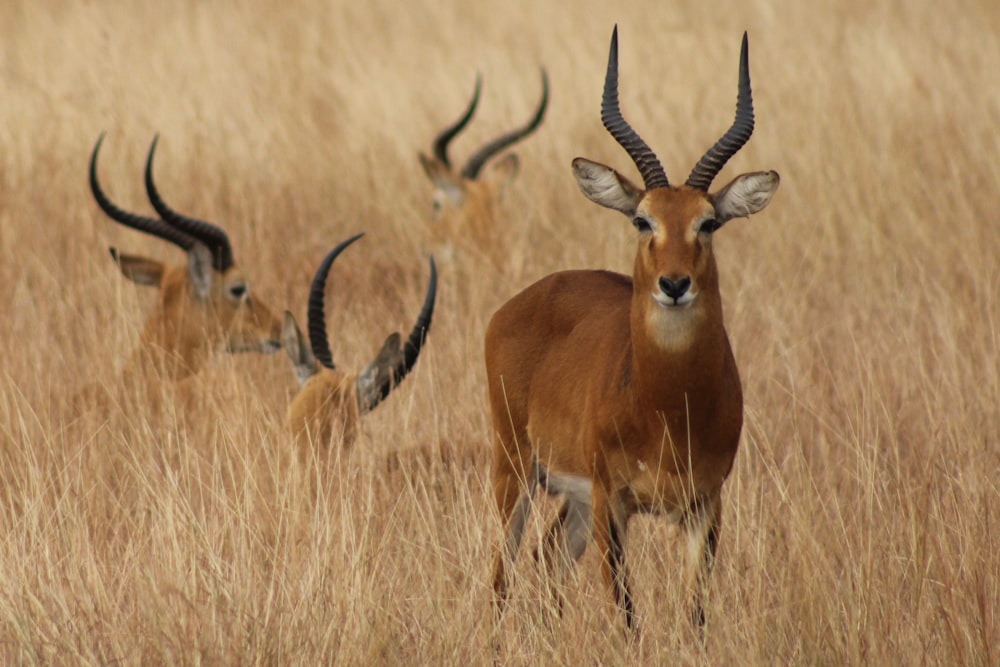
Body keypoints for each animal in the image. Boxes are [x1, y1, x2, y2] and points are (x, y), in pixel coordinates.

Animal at [488, 28, 776, 636]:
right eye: (643, 219)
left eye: (708, 222)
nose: (674, 283)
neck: (667, 406)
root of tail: (525, 298)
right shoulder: (612, 500)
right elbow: (626, 615)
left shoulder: (705, 505)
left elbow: (694, 617)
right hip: (516, 469)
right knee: (501, 575)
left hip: (569, 500)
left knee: (545, 559)